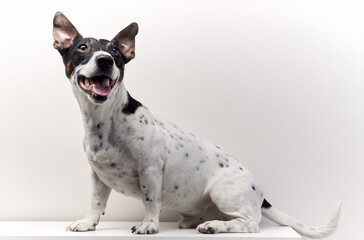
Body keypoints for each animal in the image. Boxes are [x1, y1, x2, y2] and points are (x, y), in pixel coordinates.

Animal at [52, 12, 342, 237]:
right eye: (82, 48)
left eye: (115, 51)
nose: (105, 60)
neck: (105, 120)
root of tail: (261, 196)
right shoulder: (98, 177)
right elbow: (96, 203)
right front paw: (88, 223)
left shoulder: (150, 170)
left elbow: (150, 201)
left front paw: (149, 225)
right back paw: (193, 221)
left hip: (223, 193)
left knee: (249, 224)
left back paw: (215, 226)